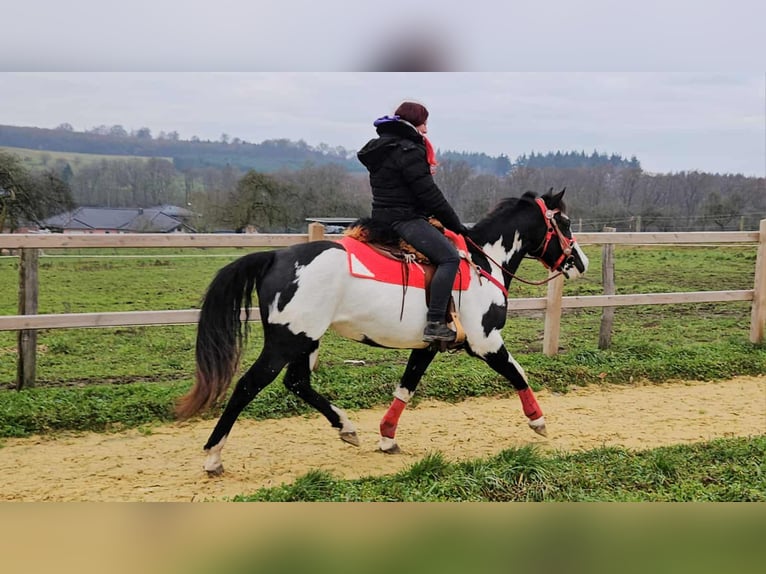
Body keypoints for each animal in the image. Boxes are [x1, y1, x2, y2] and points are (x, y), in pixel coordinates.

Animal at [176, 188, 589, 475]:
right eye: (565, 222)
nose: (580, 262)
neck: (481, 263)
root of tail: (277, 256)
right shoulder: (485, 341)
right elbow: (518, 373)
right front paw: (538, 421)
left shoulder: (428, 345)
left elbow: (406, 387)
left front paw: (387, 437)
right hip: (287, 340)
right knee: (248, 385)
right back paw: (213, 456)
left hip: (306, 340)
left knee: (297, 382)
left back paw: (346, 427)